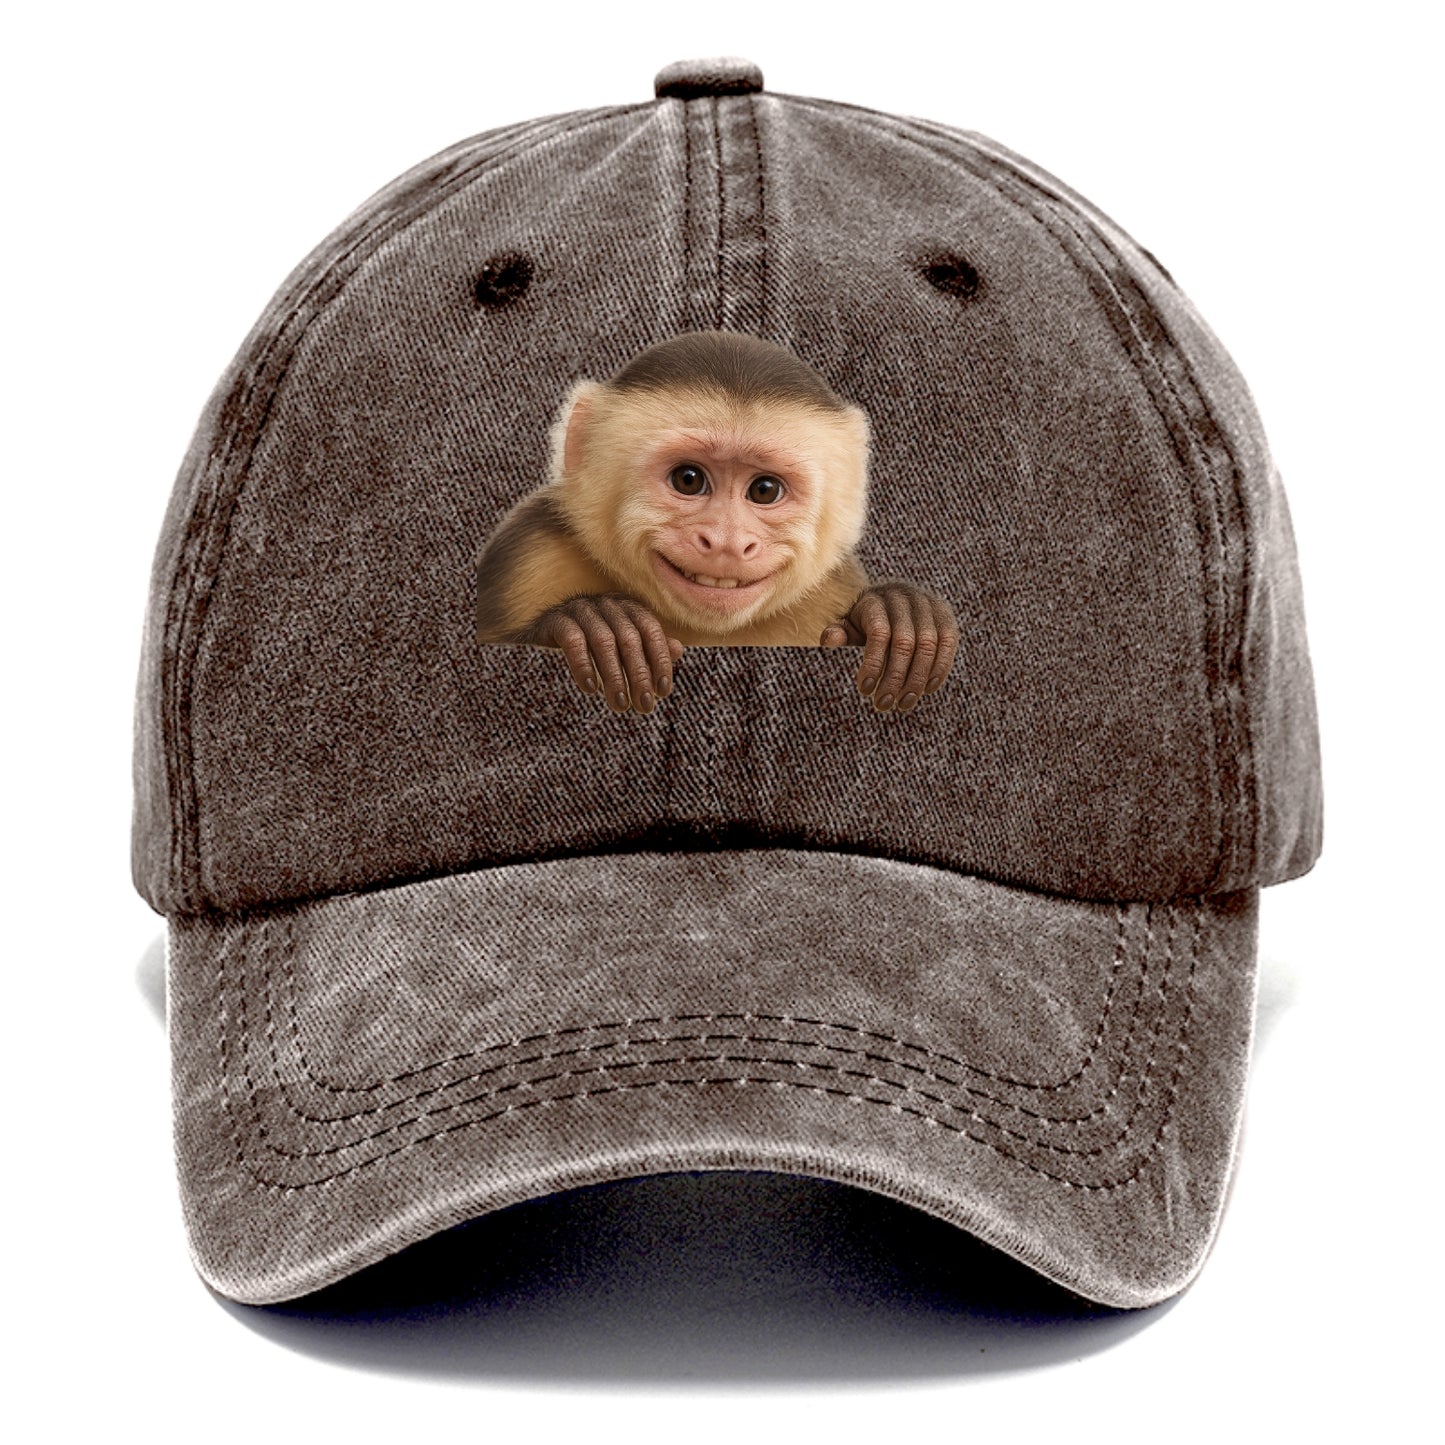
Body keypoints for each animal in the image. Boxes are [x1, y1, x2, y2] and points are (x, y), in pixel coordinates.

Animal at [474, 330, 959, 717]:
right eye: (688, 480)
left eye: (764, 490)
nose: (726, 542)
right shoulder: (531, 553)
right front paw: (595, 625)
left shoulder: (832, 590)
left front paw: (895, 614)